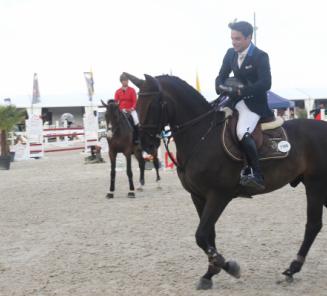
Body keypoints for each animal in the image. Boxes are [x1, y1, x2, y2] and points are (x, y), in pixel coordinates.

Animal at [125, 73, 327, 290]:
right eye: (137, 105)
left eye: (153, 105)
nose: (145, 144)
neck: (202, 136)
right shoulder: (198, 196)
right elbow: (208, 236)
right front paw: (209, 273)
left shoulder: (218, 195)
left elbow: (201, 235)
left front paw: (229, 267)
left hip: (315, 184)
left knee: (313, 224)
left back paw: (292, 268)